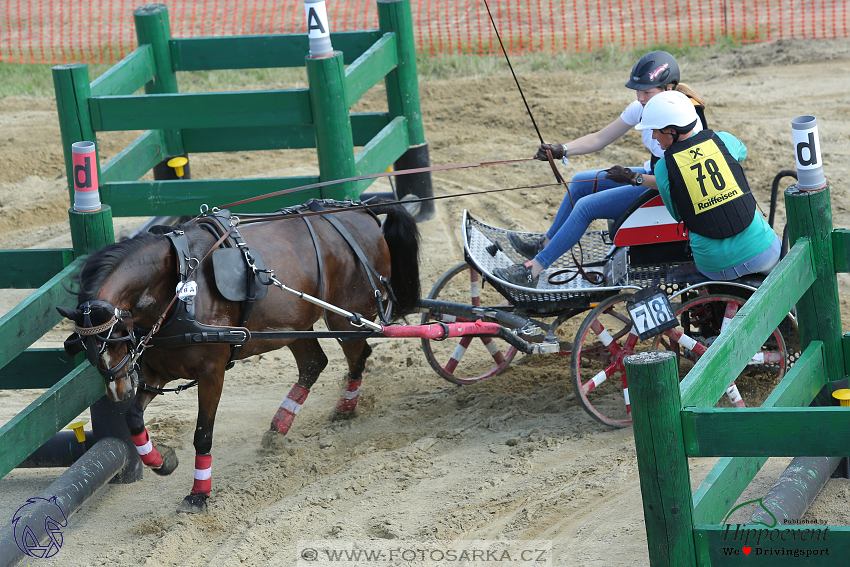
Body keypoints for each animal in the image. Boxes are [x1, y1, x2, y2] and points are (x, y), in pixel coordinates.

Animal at [54, 201, 420, 516]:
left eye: (116, 336)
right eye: (85, 349)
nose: (117, 389)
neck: (179, 287)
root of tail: (363, 212)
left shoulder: (211, 372)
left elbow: (203, 434)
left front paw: (198, 495)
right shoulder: (157, 372)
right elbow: (133, 420)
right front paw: (162, 461)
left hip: (348, 318)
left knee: (359, 355)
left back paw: (345, 408)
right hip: (293, 327)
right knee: (314, 363)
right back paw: (279, 427)